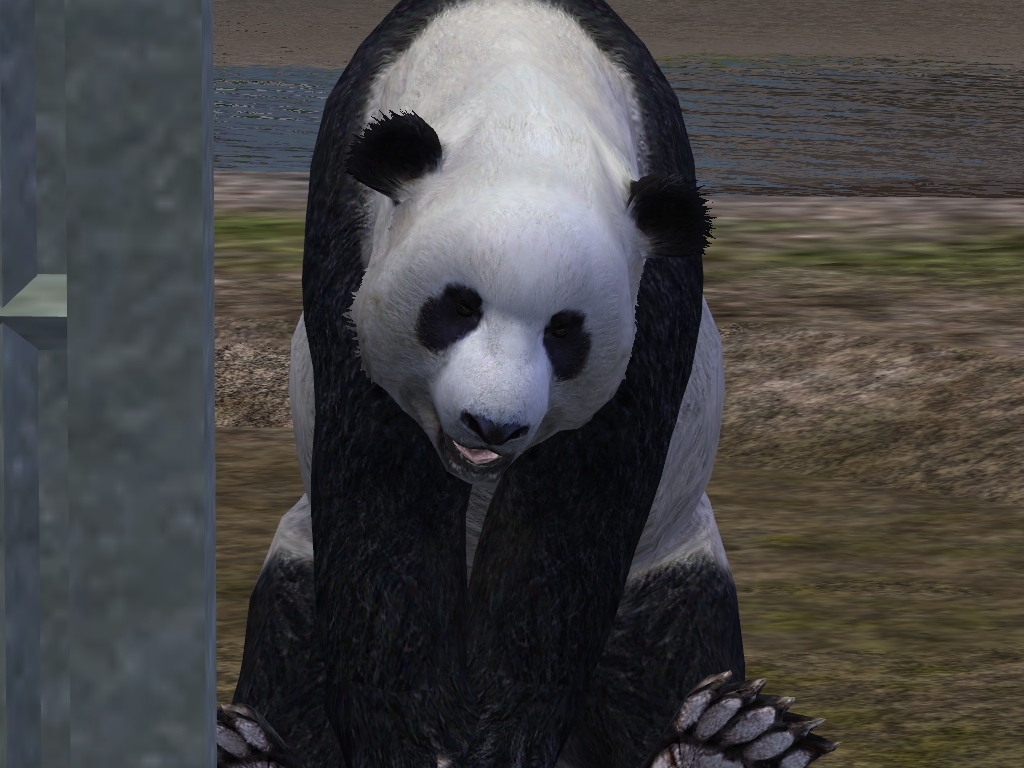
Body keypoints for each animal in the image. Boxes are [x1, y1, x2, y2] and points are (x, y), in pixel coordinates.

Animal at [216, 2, 838, 768]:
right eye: (457, 307)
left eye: (565, 332)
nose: (492, 426)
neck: (525, 105)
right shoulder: (344, 224)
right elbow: (380, 497)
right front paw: (419, 742)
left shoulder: (658, 278)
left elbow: (574, 516)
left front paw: (498, 739)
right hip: (298, 562)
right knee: (291, 630)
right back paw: (244, 744)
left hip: (670, 553)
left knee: (670, 637)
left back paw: (726, 740)